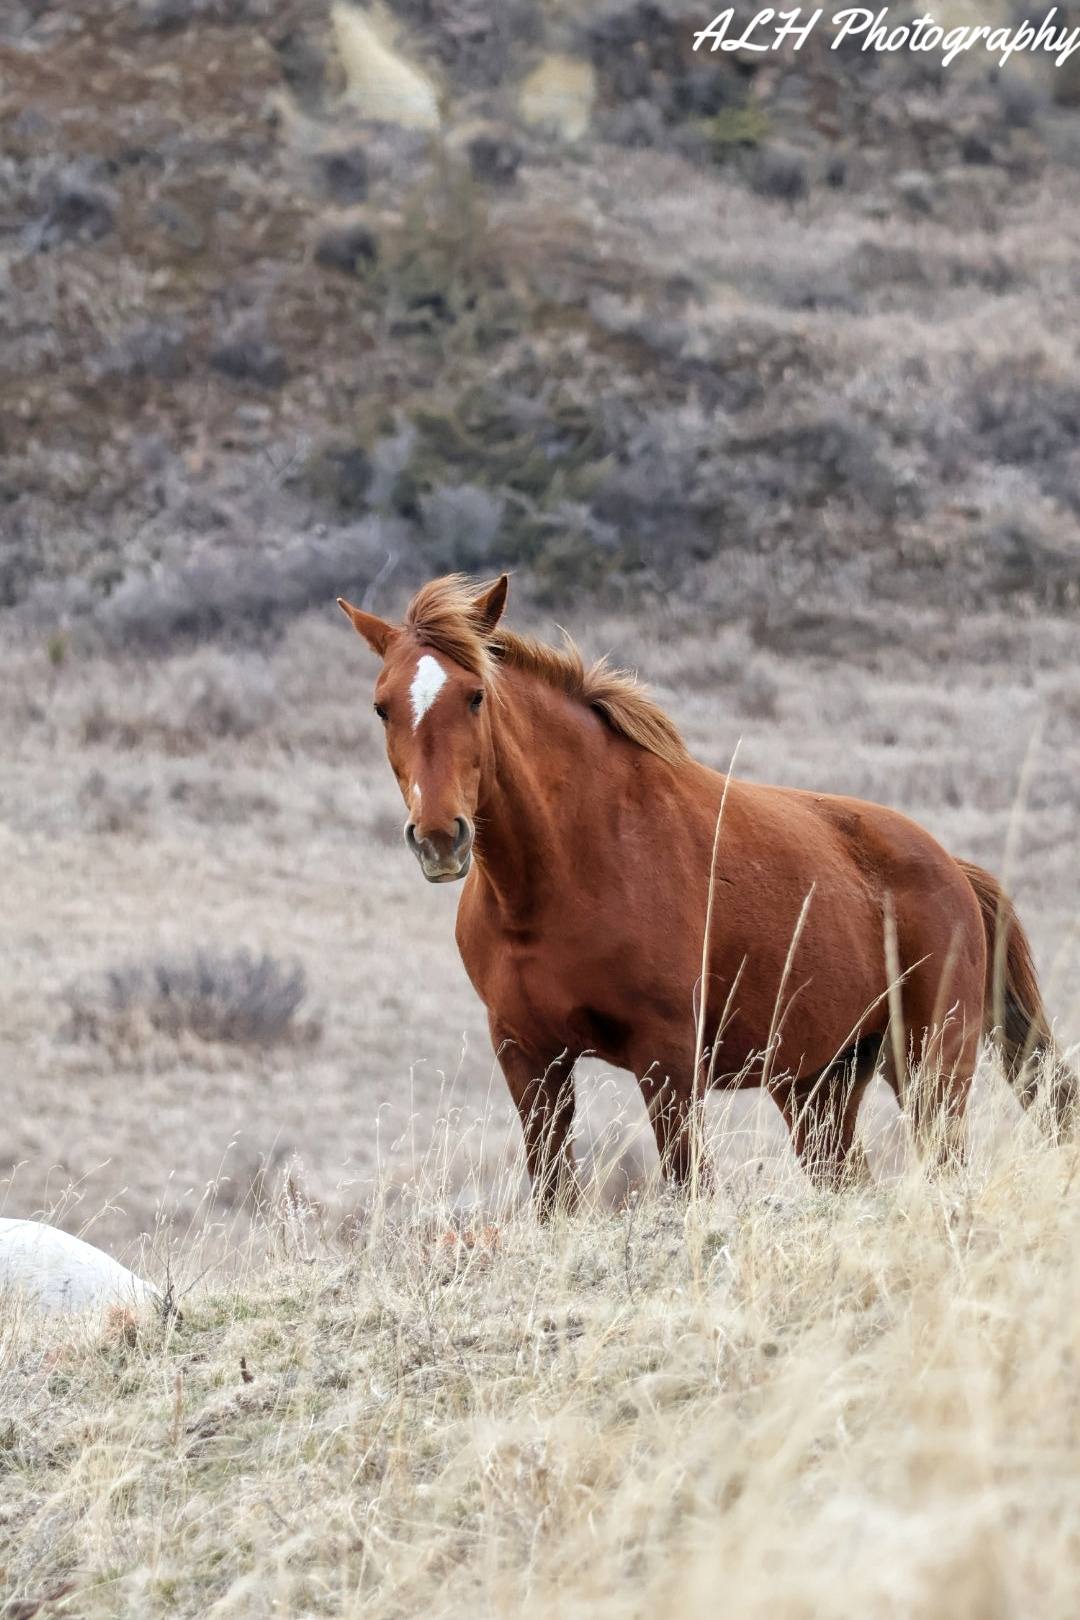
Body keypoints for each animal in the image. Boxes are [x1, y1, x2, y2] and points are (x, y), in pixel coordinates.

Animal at [338, 573, 1076, 1212]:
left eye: (475, 696)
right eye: (381, 707)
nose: (440, 837)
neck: (566, 873)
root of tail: (953, 868)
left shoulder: (666, 1060)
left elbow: (688, 1186)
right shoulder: (529, 1060)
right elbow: (554, 1200)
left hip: (929, 1066)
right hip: (819, 1085)